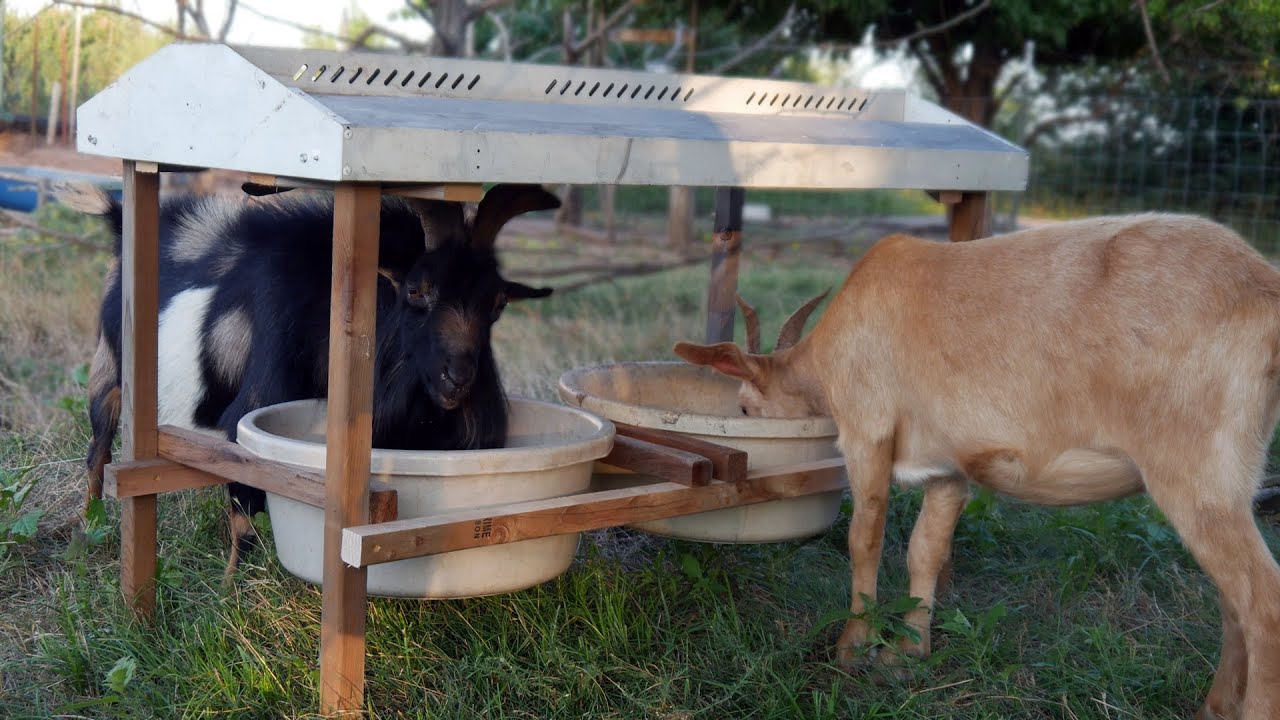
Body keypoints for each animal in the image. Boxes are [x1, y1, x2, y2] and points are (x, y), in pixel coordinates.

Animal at [80, 184, 558, 571]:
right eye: (416, 291)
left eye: (497, 304)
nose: (457, 378)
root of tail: (121, 221)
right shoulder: (246, 423)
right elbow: (245, 519)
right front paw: (232, 590)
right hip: (108, 373)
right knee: (98, 451)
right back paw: (89, 528)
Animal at [674, 214, 1280, 720]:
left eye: (744, 408)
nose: (744, 414)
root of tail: (1265, 287)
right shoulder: (950, 468)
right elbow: (925, 549)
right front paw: (906, 655)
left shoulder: (867, 429)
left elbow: (864, 537)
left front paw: (853, 649)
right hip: (1233, 476)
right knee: (1233, 601)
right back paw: (1213, 709)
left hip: (1196, 470)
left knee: (1262, 602)